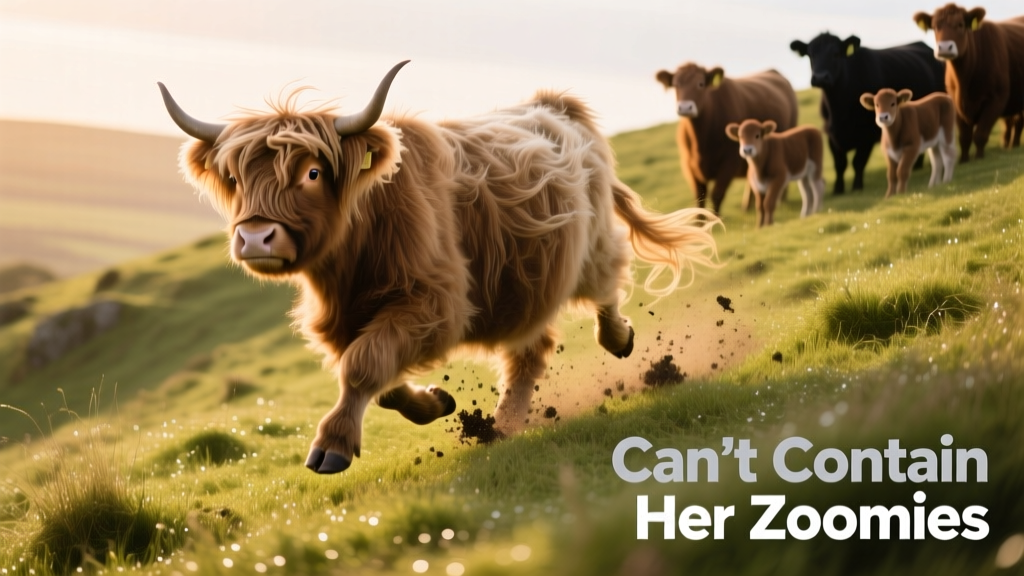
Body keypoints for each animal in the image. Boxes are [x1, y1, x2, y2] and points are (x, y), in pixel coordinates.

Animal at [158, 61, 720, 475]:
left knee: (605, 285)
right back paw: (502, 424)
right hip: (529, 282)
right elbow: (375, 375)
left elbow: (363, 364)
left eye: (313, 173)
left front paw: (333, 444)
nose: (255, 238)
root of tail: (555, 103)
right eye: (235, 179)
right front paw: (435, 402)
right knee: (530, 350)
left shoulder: (434, 301)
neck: (352, 263)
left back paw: (618, 339)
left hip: (592, 243)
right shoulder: (343, 320)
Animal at [655, 64, 798, 214]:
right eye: (676, 85)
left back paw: (781, 200)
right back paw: (747, 206)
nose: (685, 107)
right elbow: (699, 198)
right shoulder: (689, 165)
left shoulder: (729, 163)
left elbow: (717, 195)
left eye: (701, 84)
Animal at [790, 34, 946, 194]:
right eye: (811, 55)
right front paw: (838, 190)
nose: (820, 77)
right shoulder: (832, 136)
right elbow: (840, 164)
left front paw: (857, 186)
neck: (840, 109)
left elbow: (858, 162)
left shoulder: (867, 135)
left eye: (836, 53)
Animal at [913, 5, 1024, 162]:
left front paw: (978, 157)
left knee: (1017, 122)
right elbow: (964, 136)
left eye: (960, 24)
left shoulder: (997, 99)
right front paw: (964, 159)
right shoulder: (955, 102)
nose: (945, 47)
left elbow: (980, 133)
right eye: (935, 27)